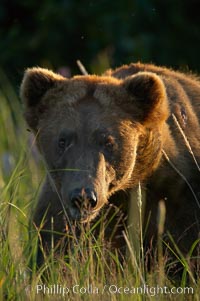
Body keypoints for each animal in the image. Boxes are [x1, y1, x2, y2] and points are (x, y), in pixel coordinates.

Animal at [20, 62, 200, 268]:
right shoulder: (59, 211)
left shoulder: (182, 200)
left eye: (108, 142)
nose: (83, 197)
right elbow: (54, 250)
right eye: (62, 140)